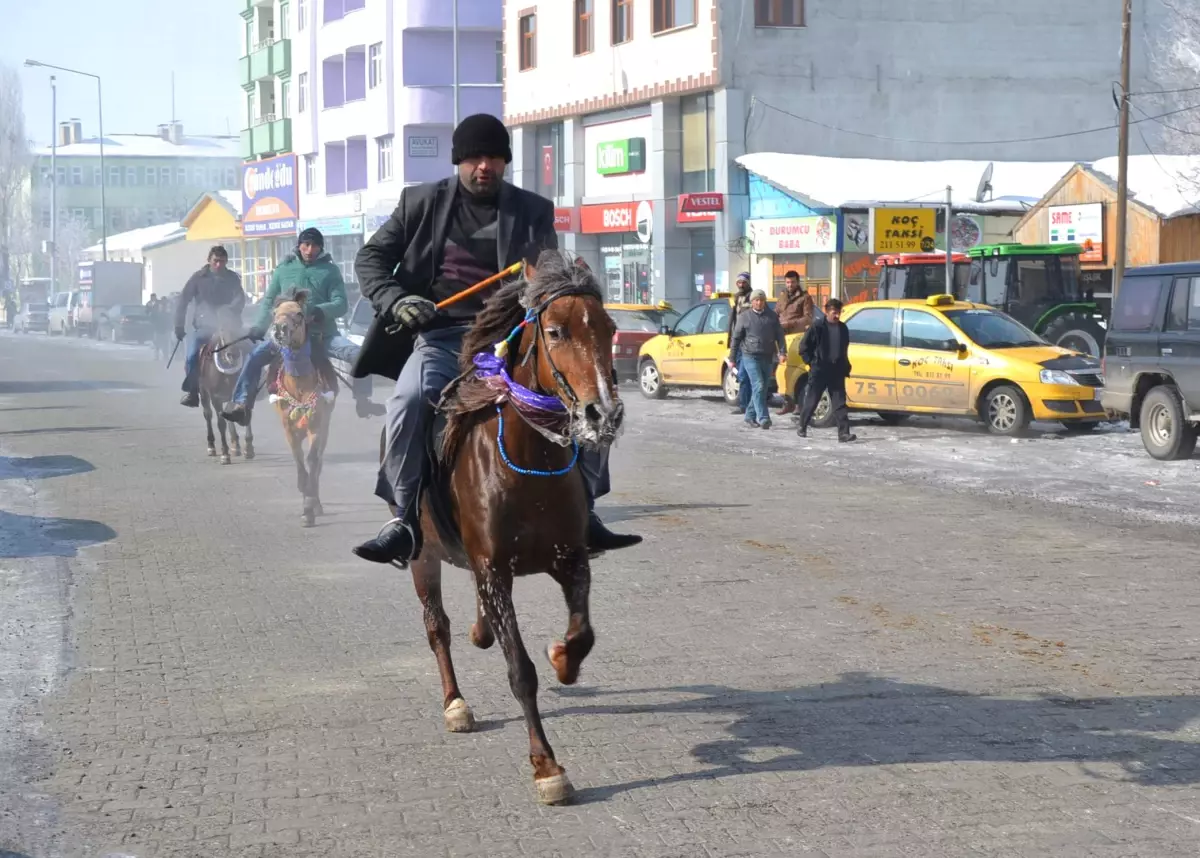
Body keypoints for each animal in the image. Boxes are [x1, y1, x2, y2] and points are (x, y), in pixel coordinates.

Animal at [199, 314, 253, 463]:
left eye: (237, 330)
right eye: (222, 330)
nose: (232, 354)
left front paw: (248, 448)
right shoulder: (216, 398)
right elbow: (220, 423)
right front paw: (225, 454)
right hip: (204, 393)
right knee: (208, 415)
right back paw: (211, 446)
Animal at [266, 291, 333, 528]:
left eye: (299, 313)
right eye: (274, 313)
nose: (279, 329)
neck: (299, 386)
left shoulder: (317, 424)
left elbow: (312, 460)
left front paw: (309, 507)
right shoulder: (288, 427)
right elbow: (298, 459)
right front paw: (305, 500)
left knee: (319, 461)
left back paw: (318, 504)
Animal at [398, 249, 624, 806]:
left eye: (608, 327)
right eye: (557, 331)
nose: (603, 413)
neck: (529, 460)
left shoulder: (570, 560)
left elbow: (582, 633)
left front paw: (563, 657)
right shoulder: (494, 570)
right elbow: (520, 670)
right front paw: (546, 766)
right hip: (422, 557)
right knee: (437, 628)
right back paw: (455, 703)